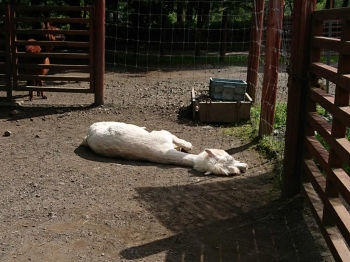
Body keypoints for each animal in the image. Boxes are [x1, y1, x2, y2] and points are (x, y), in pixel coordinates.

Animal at [80, 121, 247, 176]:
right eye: (229, 158)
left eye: (232, 172)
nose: (245, 167)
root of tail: (88, 135)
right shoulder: (163, 135)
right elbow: (178, 140)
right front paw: (187, 146)